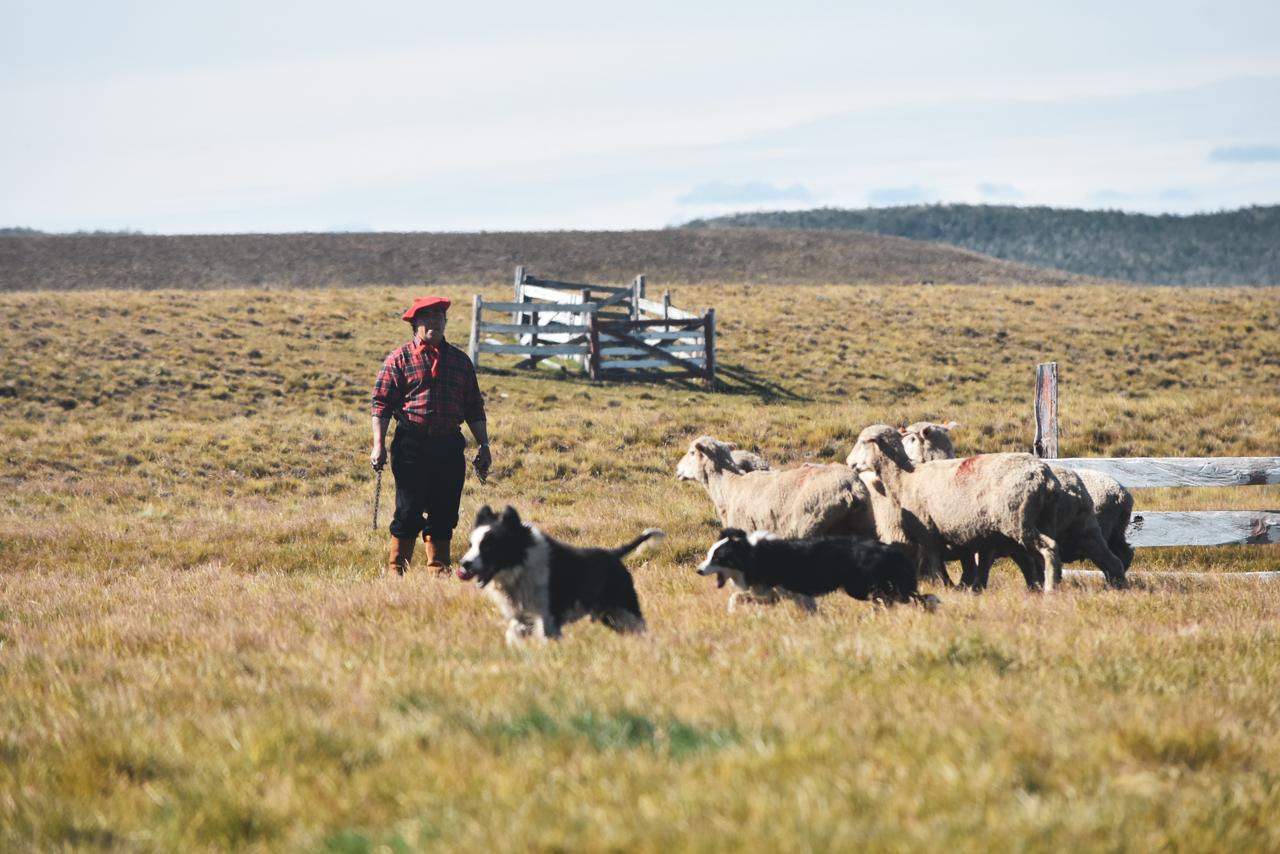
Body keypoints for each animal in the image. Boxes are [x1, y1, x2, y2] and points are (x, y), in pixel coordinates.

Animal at [458, 504, 660, 645]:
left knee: (642, 629)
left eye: (488, 546)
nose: (464, 564)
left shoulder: (548, 617)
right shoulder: (521, 618)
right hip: (610, 614)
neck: (521, 565)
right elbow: (514, 635)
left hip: (625, 608)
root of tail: (613, 554)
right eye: (471, 545)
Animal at [675, 437, 875, 612]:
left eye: (691, 452)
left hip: (810, 527)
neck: (728, 487)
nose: (677, 469)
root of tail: (851, 488)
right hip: (864, 526)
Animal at [701, 530, 942, 612]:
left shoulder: (796, 592)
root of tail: (889, 550)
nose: (698, 570)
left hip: (862, 587)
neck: (754, 556)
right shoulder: (774, 594)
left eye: (718, 557)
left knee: (902, 598)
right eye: (709, 554)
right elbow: (738, 597)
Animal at [844, 425, 1064, 591]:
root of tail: (1044, 474)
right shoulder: (961, 537)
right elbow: (966, 568)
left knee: (1049, 548)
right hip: (1041, 521)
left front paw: (945, 587)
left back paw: (1050, 589)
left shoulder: (928, 535)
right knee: (1040, 557)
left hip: (1019, 522)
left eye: (862, 441)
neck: (904, 476)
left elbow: (937, 567)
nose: (848, 462)